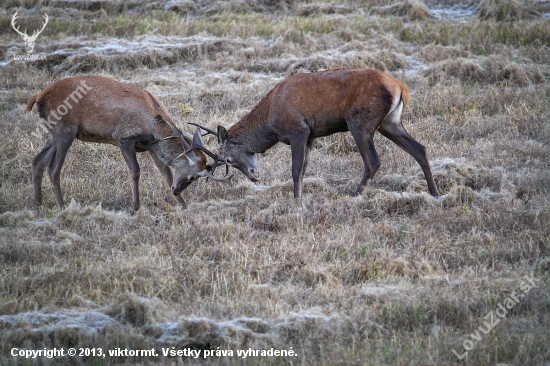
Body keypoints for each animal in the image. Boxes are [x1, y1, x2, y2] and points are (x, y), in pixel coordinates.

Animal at [26, 75, 231, 212]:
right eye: (193, 177)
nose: (175, 191)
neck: (154, 126)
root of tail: (38, 97)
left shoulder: (151, 147)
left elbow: (165, 173)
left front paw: (183, 205)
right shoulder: (123, 138)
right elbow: (135, 171)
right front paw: (136, 207)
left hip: (53, 132)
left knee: (38, 161)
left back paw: (37, 205)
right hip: (65, 129)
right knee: (54, 168)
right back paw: (62, 207)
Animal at [194, 68, 440, 200]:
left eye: (228, 160)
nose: (254, 175)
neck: (270, 117)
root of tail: (401, 88)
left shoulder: (298, 130)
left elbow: (295, 170)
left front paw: (296, 200)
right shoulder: (311, 136)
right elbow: (303, 170)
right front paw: (300, 196)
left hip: (360, 122)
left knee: (373, 161)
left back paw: (355, 195)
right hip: (390, 123)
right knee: (421, 149)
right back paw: (435, 192)